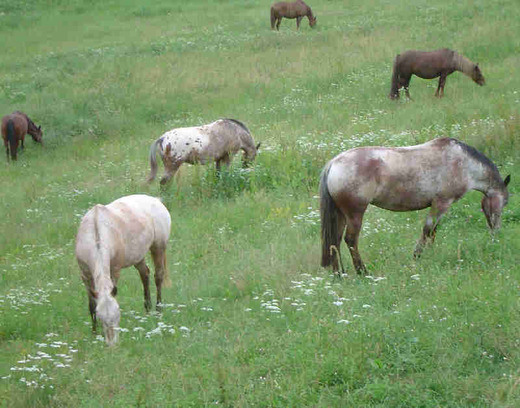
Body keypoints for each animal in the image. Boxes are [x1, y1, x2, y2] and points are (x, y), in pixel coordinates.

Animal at [75, 194, 171, 344]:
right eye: (101, 318)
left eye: (118, 316)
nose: (112, 344)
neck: (96, 235)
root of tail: (156, 200)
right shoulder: (85, 275)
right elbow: (91, 305)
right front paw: (94, 333)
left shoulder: (114, 270)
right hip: (138, 257)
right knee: (145, 274)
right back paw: (147, 309)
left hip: (158, 247)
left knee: (158, 276)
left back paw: (158, 311)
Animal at [318, 139, 510, 276]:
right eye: (505, 202)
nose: (497, 233)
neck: (463, 164)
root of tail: (333, 163)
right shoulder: (441, 203)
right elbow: (427, 230)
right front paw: (417, 256)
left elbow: (433, 232)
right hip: (355, 214)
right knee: (350, 240)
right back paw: (362, 272)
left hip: (340, 214)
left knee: (334, 241)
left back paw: (339, 274)